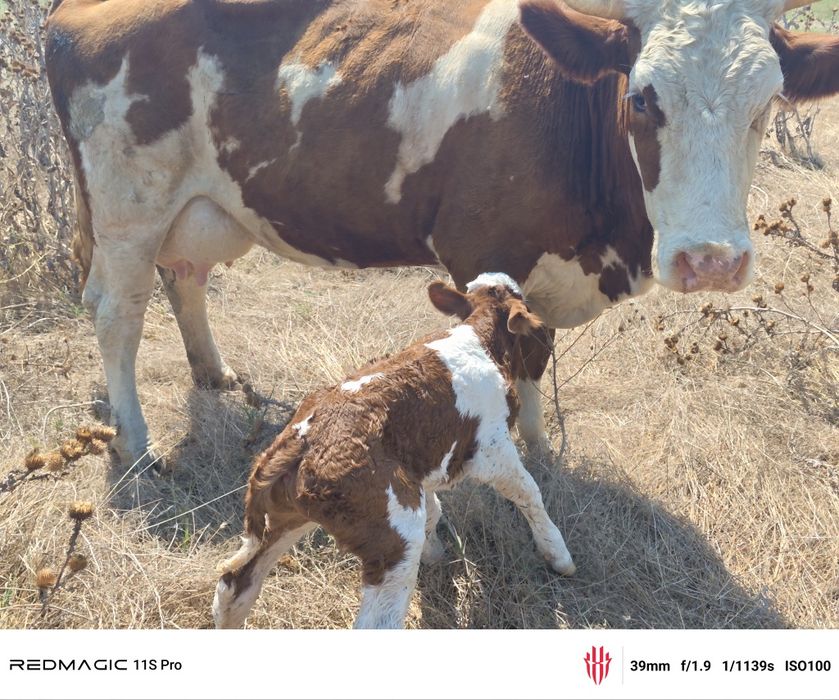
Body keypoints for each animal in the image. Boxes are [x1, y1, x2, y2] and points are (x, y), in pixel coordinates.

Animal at [44, 0, 839, 472]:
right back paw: (136, 440)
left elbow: (535, 354)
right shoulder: (481, 252)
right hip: (127, 206)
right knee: (117, 313)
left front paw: (540, 451)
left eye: (768, 101)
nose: (711, 260)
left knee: (184, 277)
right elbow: (507, 359)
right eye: (644, 98)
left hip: (203, 206)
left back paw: (213, 373)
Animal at [213, 273, 575, 629]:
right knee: (378, 620)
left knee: (234, 585)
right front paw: (558, 554)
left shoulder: (421, 467)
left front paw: (434, 554)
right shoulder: (492, 446)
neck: (478, 339)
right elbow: (528, 492)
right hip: (392, 534)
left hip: (285, 516)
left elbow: (434, 511)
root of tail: (303, 439)